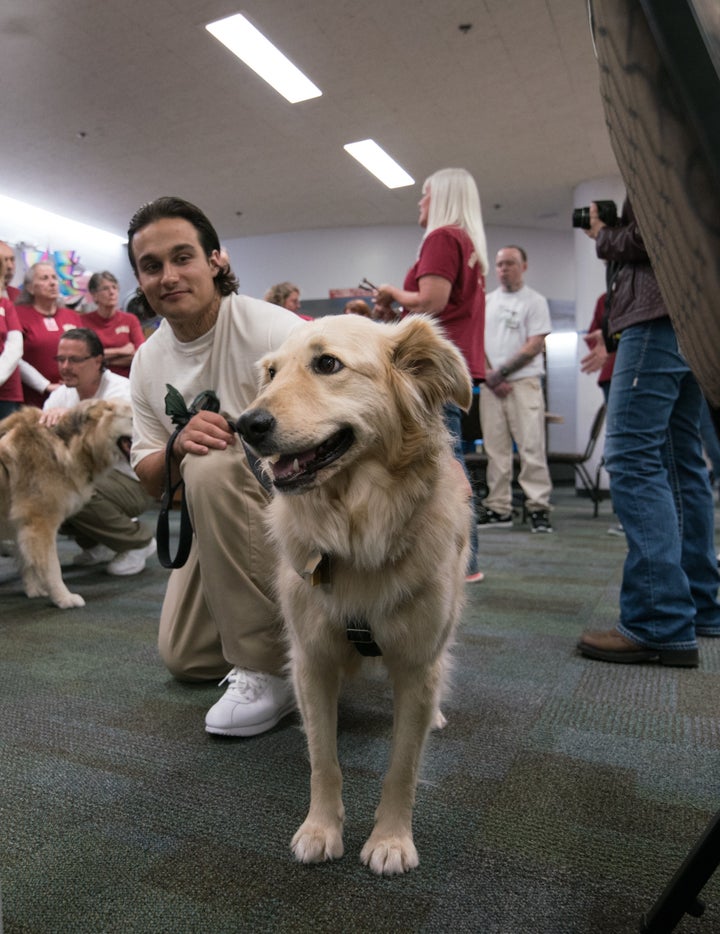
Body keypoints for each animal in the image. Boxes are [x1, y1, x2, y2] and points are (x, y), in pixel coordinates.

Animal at [0, 398, 134, 612]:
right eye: (132, 419)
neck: (68, 444)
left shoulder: (22, 525)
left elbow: (26, 561)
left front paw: (33, 589)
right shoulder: (40, 525)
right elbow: (52, 567)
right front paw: (63, 598)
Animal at [236, 314, 472, 876]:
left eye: (327, 364)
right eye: (271, 372)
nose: (244, 424)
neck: (357, 531)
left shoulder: (416, 665)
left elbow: (402, 766)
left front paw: (391, 840)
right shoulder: (313, 658)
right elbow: (324, 760)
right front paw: (320, 830)